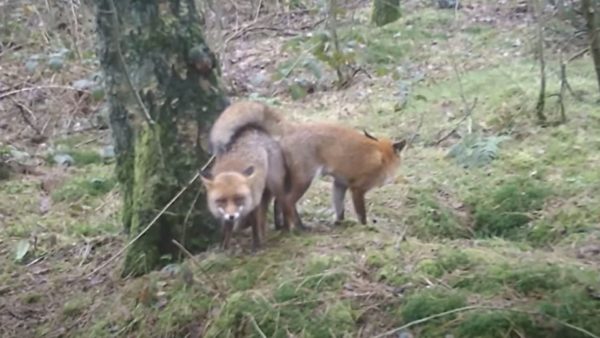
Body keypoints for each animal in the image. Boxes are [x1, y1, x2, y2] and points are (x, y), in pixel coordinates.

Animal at [209, 99, 410, 228]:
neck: (381, 156)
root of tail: (292, 128)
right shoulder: (357, 188)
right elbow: (361, 214)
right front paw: (365, 228)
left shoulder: (340, 184)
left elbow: (339, 208)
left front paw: (339, 224)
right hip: (305, 180)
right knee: (288, 202)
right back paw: (300, 228)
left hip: (289, 179)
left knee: (279, 201)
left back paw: (282, 227)